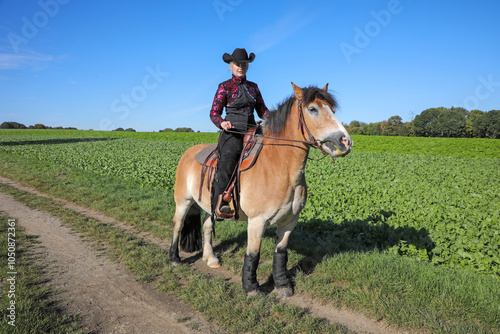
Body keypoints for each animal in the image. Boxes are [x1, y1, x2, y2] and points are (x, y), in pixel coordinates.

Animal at [170, 82, 354, 296]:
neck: (279, 167)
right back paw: (174, 258)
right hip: (183, 201)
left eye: (332, 110)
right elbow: (253, 253)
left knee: (207, 227)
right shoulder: (257, 221)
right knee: (178, 225)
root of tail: (188, 152)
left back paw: (211, 259)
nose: (346, 141)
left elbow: (280, 252)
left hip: (210, 205)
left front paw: (282, 284)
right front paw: (251, 287)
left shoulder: (289, 221)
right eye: (313, 109)